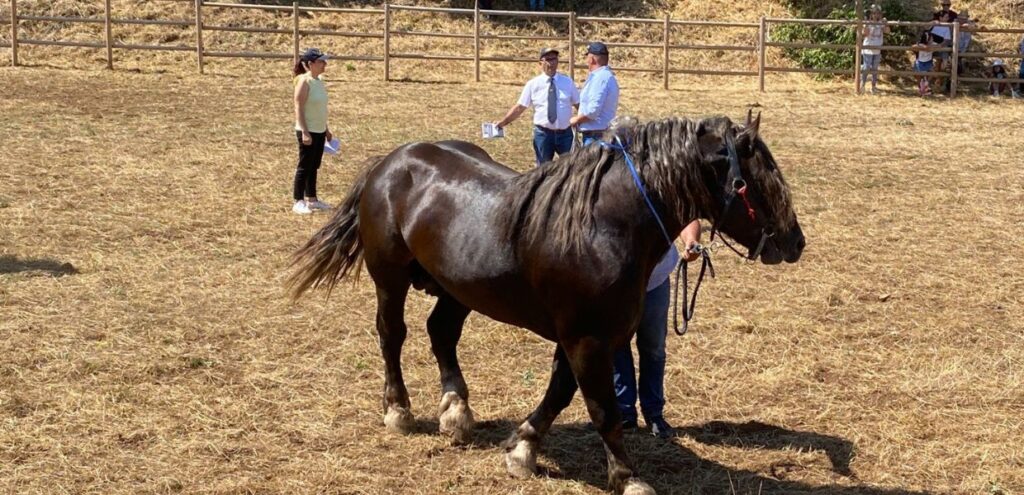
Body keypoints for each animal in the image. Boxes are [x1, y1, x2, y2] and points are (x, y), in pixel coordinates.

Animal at [287, 113, 805, 495]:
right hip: (390, 278)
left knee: (442, 334)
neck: (604, 224)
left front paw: (523, 448)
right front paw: (627, 477)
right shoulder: (586, 339)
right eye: (757, 180)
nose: (795, 242)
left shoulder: (585, 338)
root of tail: (392, 161)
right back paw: (398, 410)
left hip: (457, 288)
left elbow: (559, 394)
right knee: (392, 335)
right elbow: (602, 409)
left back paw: (456, 410)